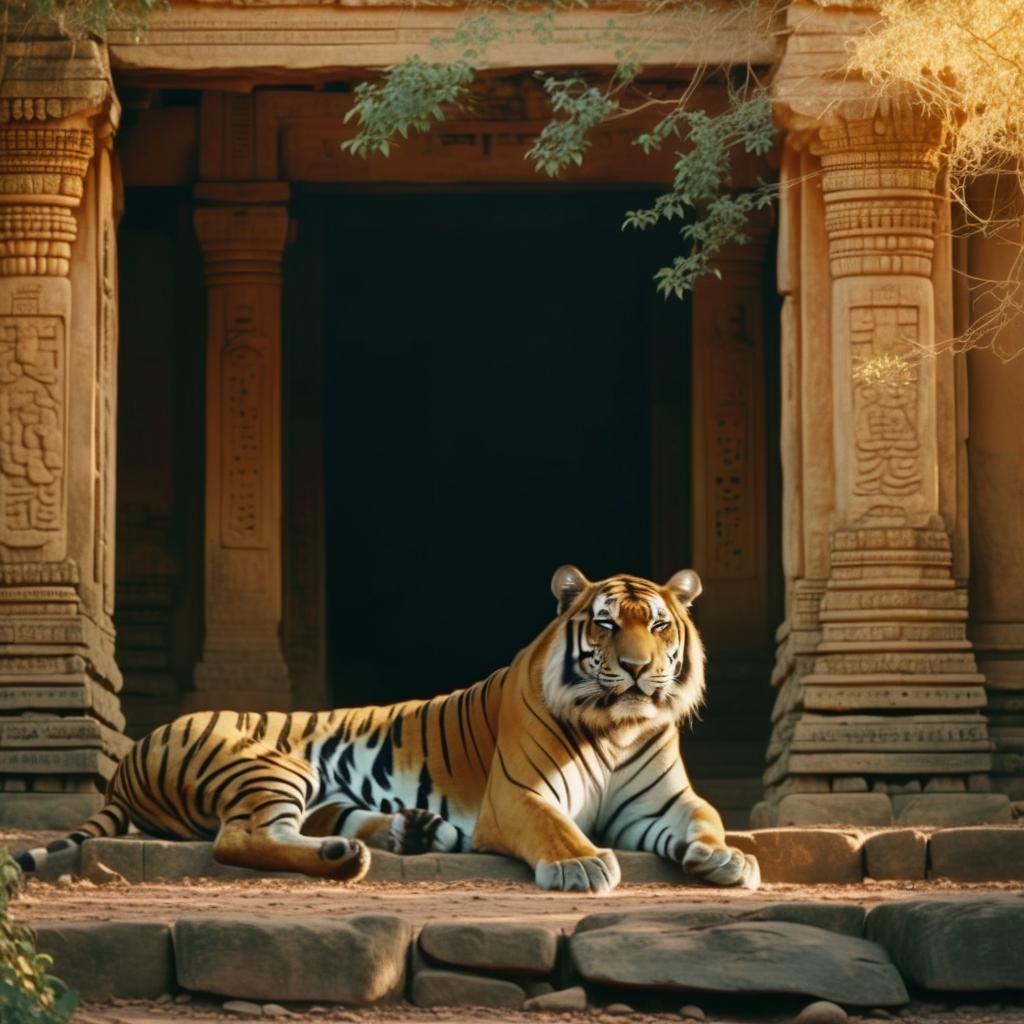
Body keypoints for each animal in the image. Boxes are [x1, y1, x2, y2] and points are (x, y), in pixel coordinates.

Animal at [14, 566, 759, 892]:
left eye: (658, 625)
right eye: (605, 625)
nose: (637, 669)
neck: (619, 727)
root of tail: (130, 754)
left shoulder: (664, 802)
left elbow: (708, 819)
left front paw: (728, 859)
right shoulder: (518, 794)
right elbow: (556, 828)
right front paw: (581, 865)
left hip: (322, 792)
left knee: (308, 826)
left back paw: (401, 834)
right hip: (273, 764)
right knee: (239, 839)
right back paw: (354, 858)